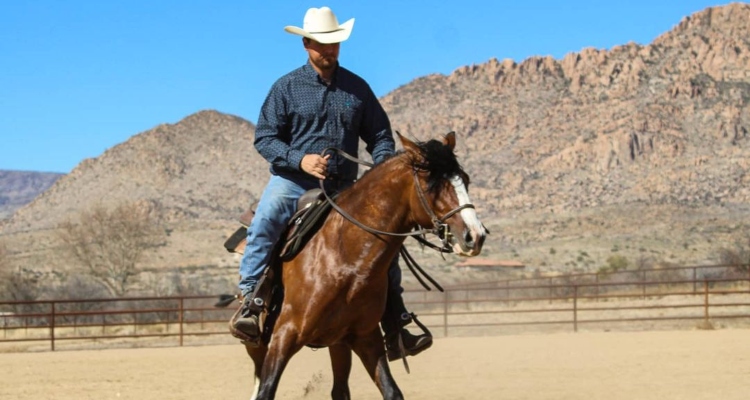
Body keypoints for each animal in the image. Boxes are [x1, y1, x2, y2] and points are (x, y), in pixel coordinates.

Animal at [245, 130, 488, 396]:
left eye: (465, 180)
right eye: (431, 184)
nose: (475, 235)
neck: (344, 260)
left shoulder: (365, 338)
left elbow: (392, 391)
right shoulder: (284, 334)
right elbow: (266, 390)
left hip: (337, 343)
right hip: (258, 345)